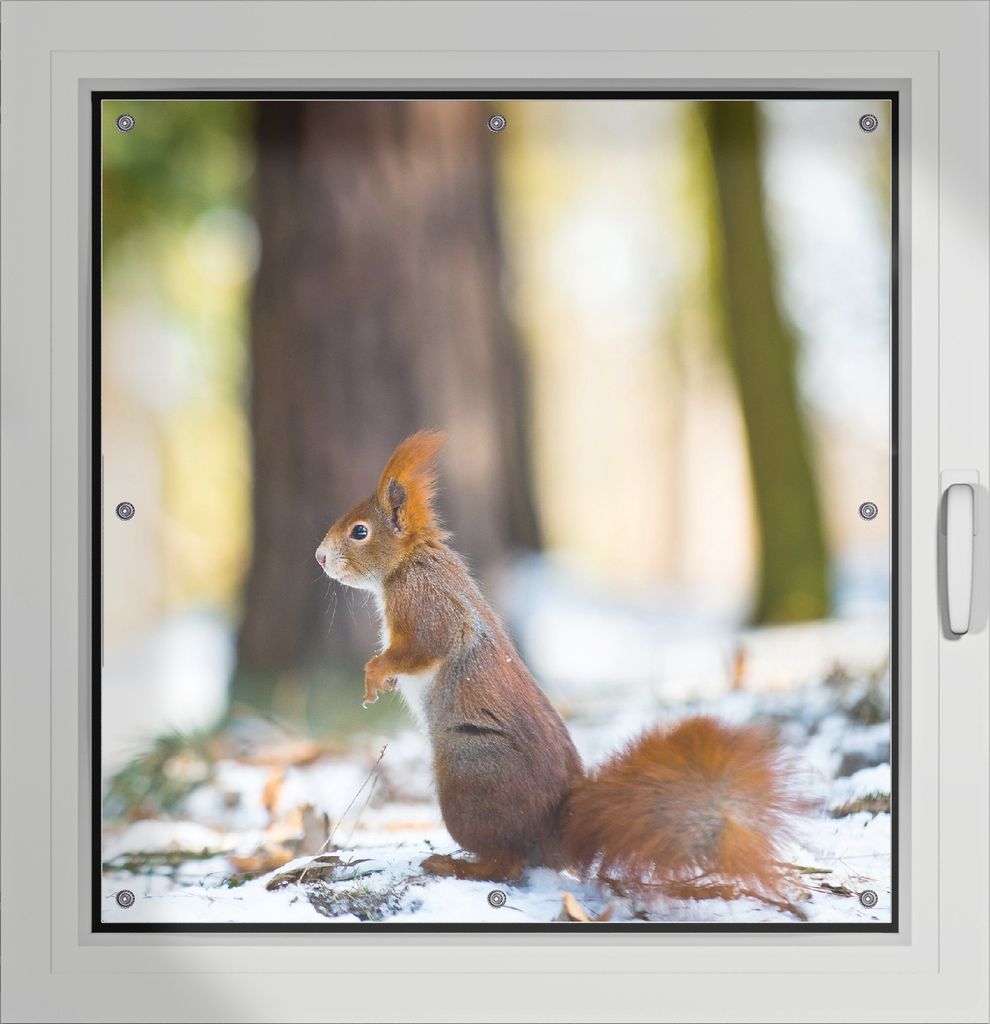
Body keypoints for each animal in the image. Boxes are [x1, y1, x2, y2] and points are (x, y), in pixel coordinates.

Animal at [315, 431, 806, 896]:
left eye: (359, 532)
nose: (319, 557)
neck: (410, 561)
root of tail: (555, 835)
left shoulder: (426, 604)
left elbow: (424, 646)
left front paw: (374, 675)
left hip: (469, 780)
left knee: (507, 861)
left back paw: (455, 865)